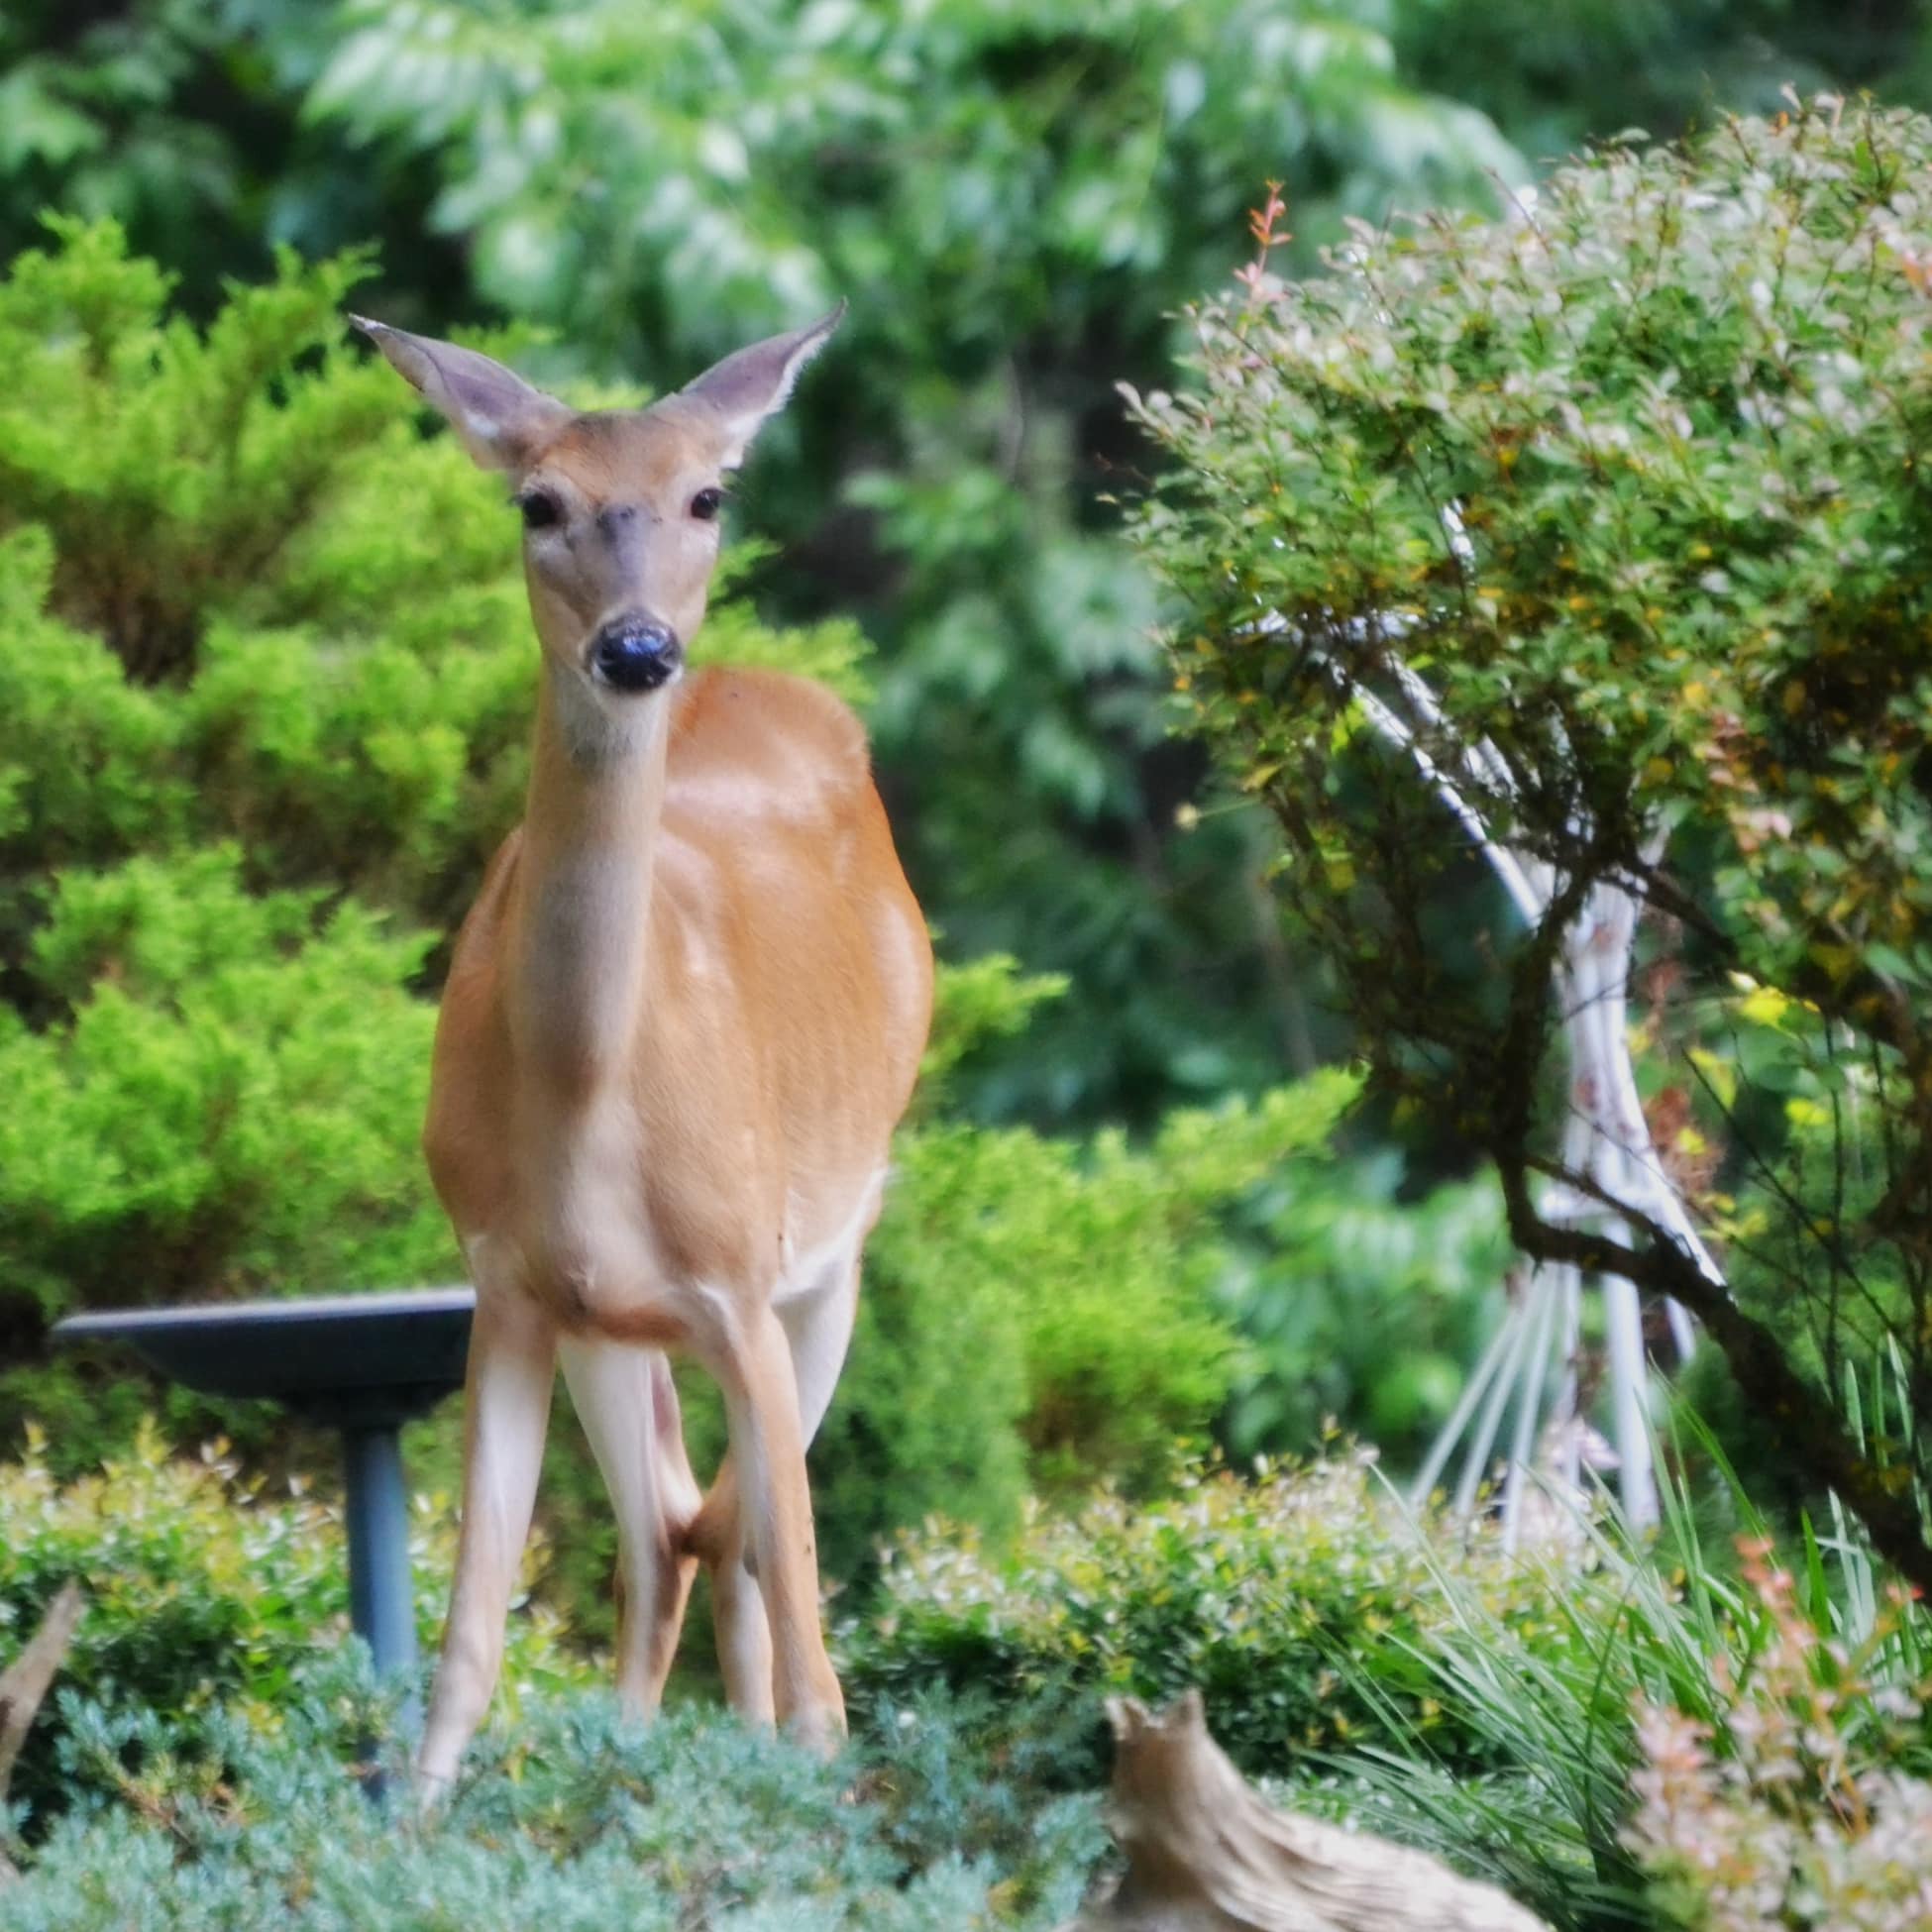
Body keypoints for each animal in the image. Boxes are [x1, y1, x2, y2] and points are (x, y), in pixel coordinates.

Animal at [355, 305, 934, 1792]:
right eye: (538, 502)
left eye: (707, 496)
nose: (634, 650)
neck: (581, 1084)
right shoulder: (509, 1286)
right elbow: (464, 1652)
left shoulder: (741, 1279)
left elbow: (816, 1657)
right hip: (614, 1324)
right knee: (672, 1534)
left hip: (832, 1249)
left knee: (736, 1548)